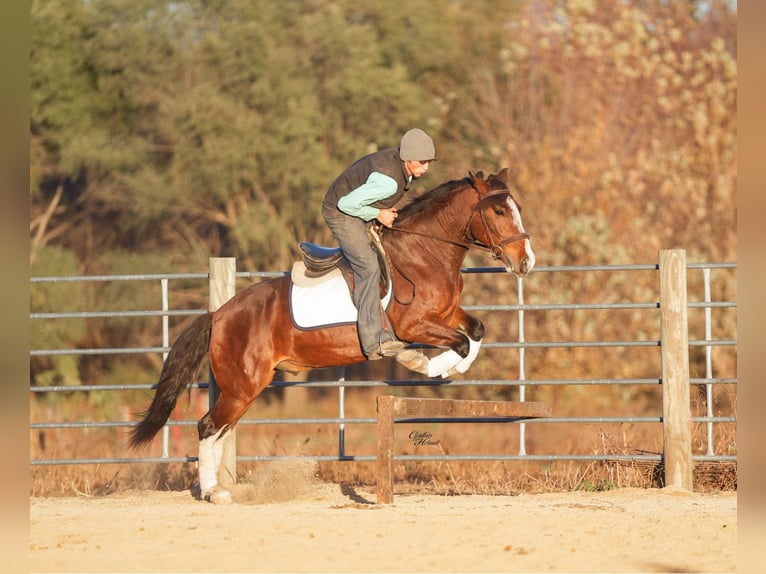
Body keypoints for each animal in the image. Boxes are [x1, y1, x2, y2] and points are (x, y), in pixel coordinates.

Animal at [129, 167, 535, 503]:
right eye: (499, 212)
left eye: (516, 208)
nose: (526, 262)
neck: (424, 252)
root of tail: (220, 314)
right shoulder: (413, 325)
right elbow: (459, 342)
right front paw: (433, 366)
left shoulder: (448, 314)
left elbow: (476, 330)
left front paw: (443, 364)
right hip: (242, 386)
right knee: (208, 426)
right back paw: (214, 492)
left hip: (243, 390)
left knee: (219, 429)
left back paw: (215, 489)